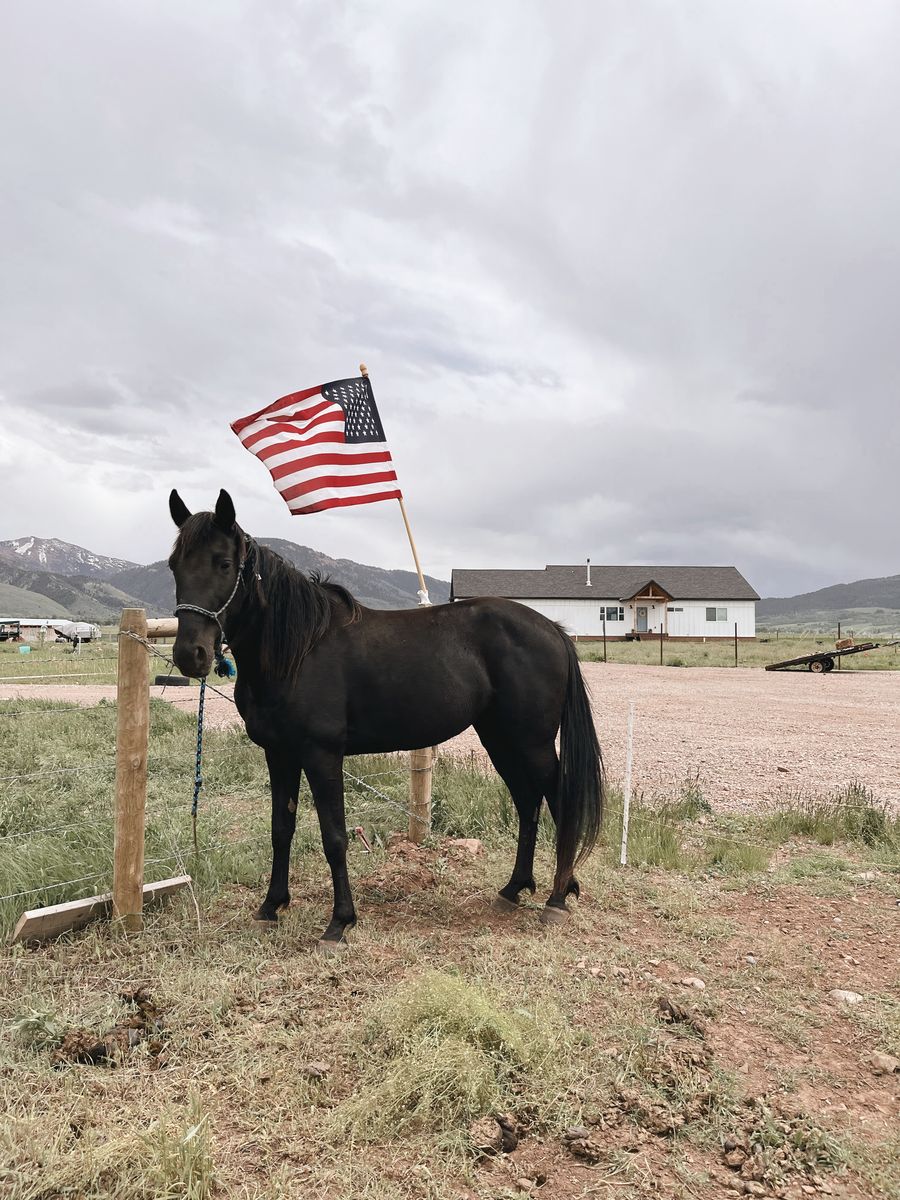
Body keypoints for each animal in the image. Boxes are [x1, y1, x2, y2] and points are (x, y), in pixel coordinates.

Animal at [167, 489, 604, 948]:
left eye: (223, 563)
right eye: (174, 564)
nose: (190, 654)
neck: (298, 650)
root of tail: (552, 629)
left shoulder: (321, 755)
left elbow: (334, 837)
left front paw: (339, 922)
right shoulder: (279, 754)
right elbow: (280, 829)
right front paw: (271, 907)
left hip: (532, 742)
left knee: (557, 800)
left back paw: (557, 898)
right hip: (500, 739)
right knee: (527, 802)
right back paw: (515, 889)